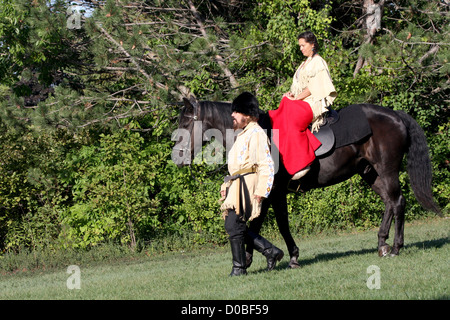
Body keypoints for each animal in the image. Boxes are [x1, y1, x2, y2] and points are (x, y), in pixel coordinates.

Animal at [174, 97, 442, 268]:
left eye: (186, 123)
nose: (177, 156)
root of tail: (395, 116)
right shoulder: (270, 192)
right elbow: (262, 223)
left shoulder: (274, 192)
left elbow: (273, 223)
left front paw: (285, 256)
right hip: (371, 173)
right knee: (390, 202)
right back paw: (383, 243)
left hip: (386, 170)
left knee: (397, 202)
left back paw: (395, 247)